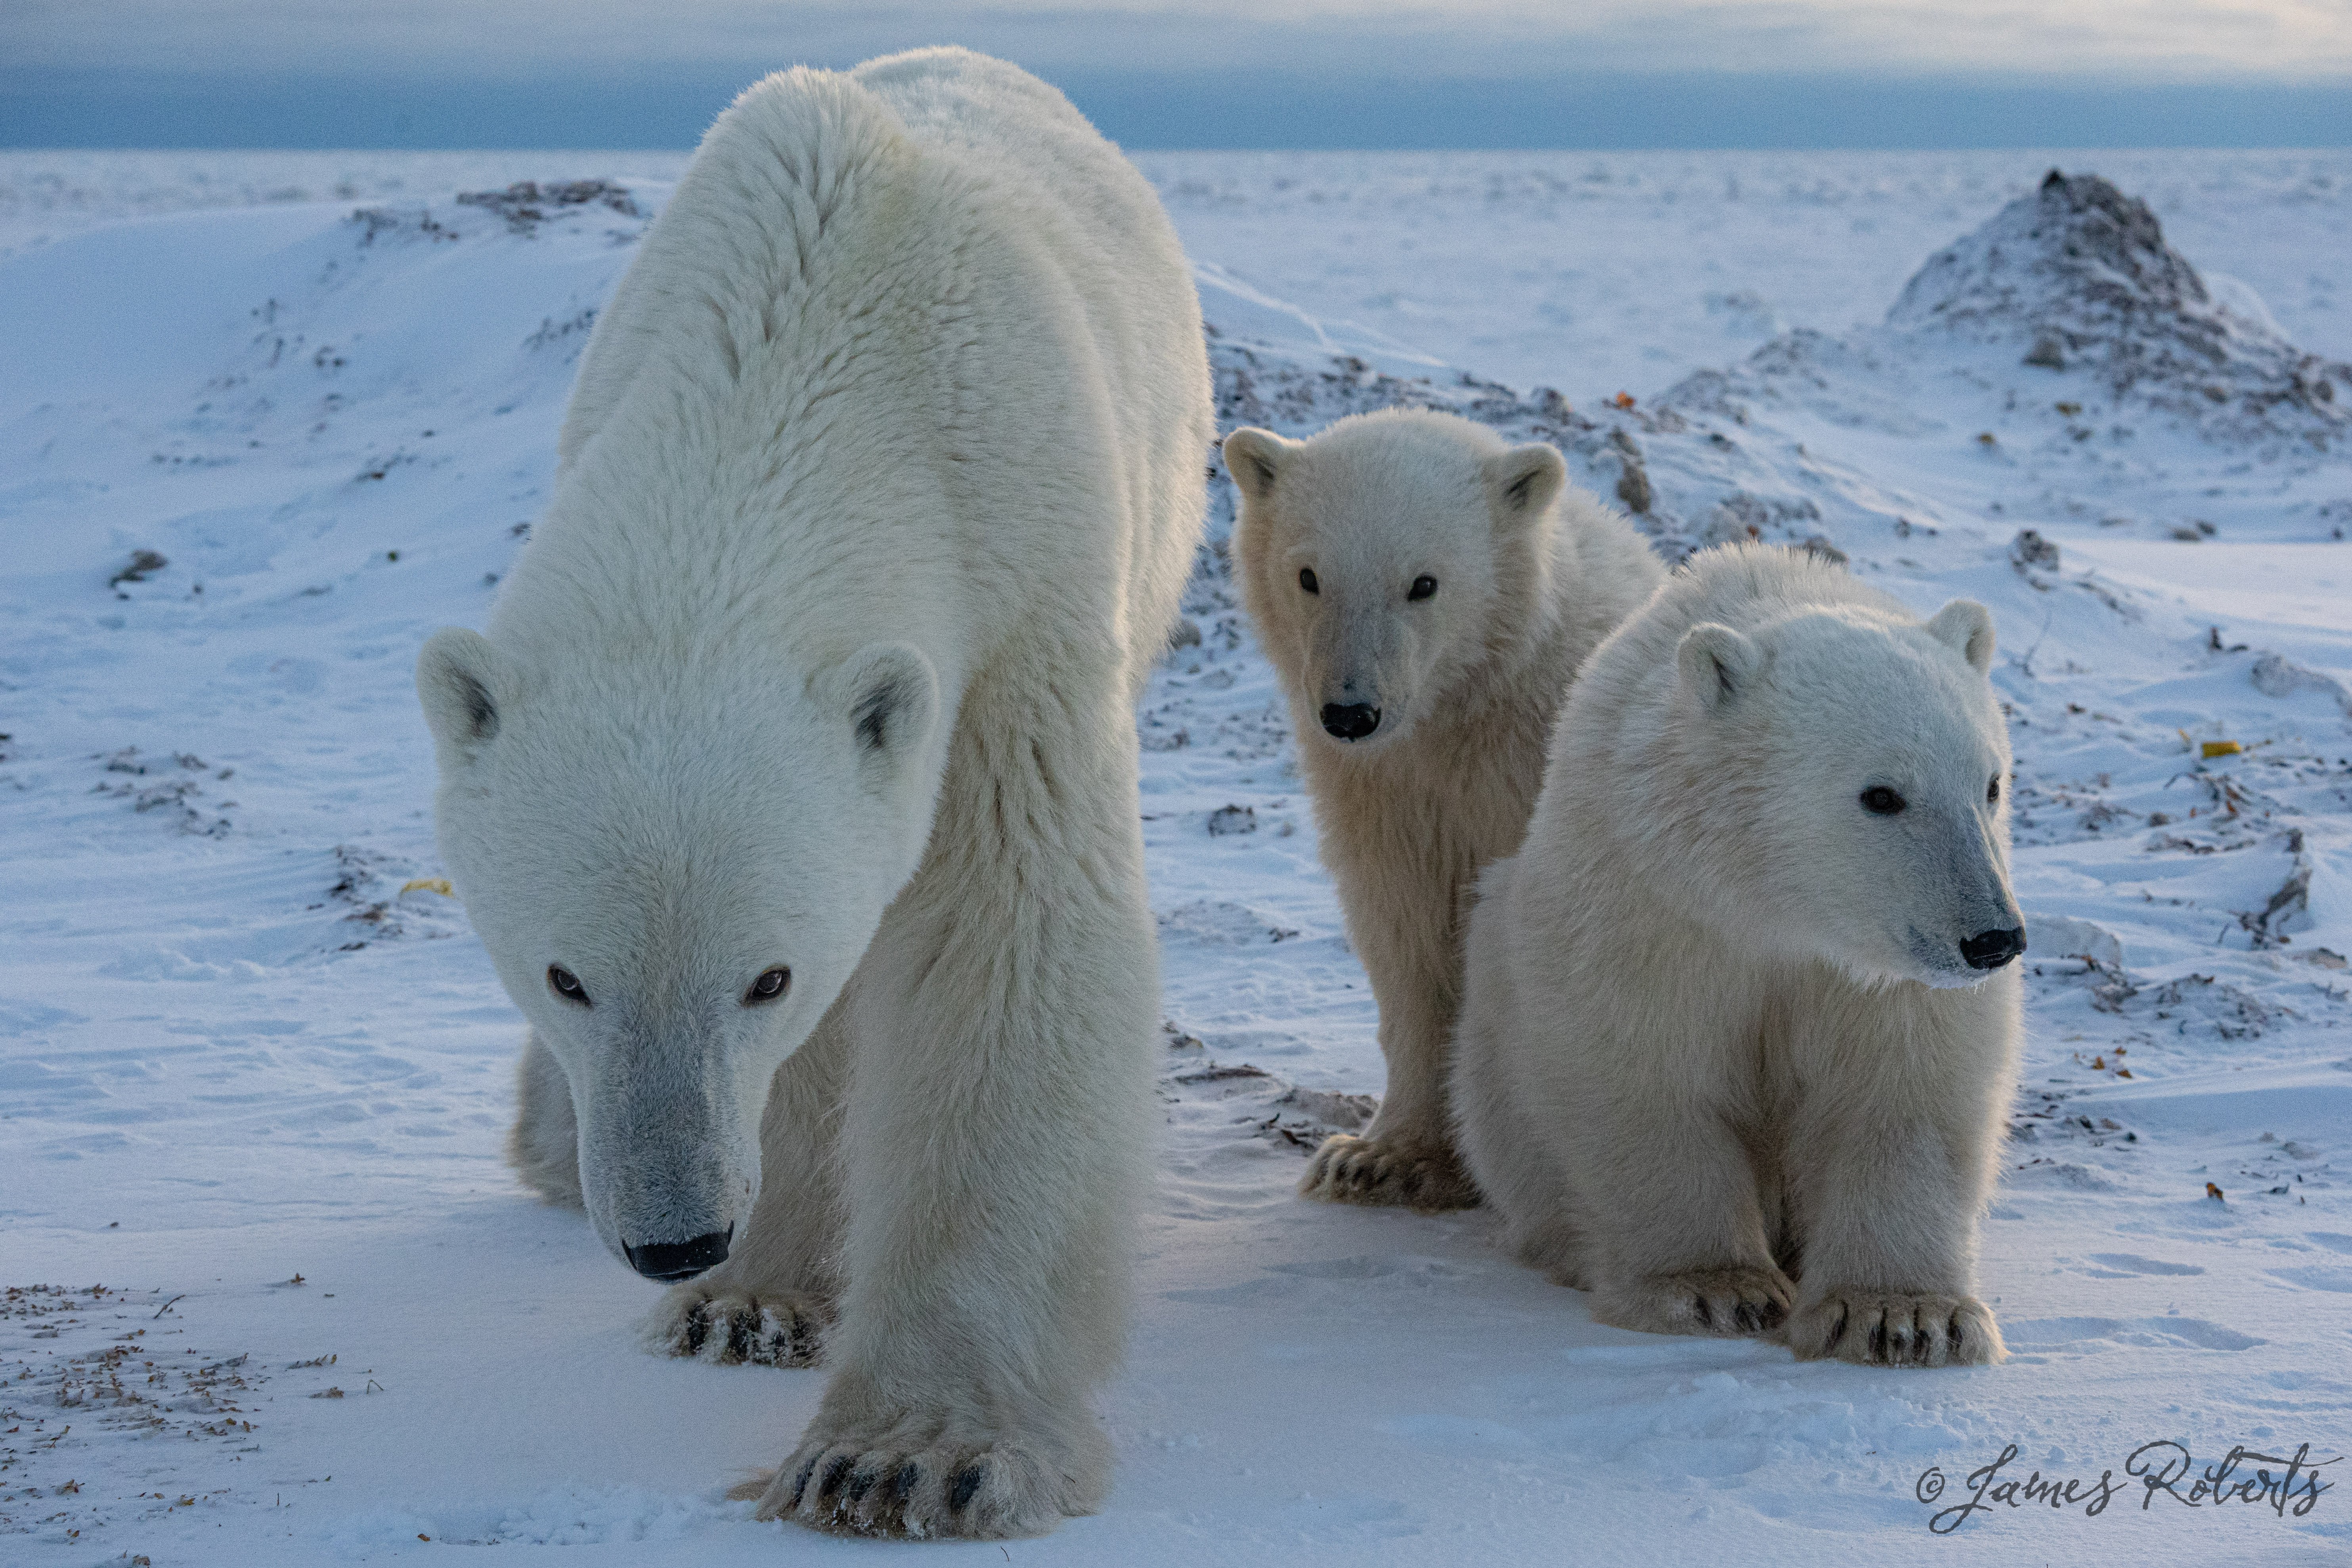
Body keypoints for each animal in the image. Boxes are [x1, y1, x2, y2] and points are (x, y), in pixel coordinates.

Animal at [414, 52, 1213, 1542]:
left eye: (764, 977)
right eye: (564, 974)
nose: (675, 1232)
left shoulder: (1020, 601)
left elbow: (1006, 944)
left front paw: (908, 1454)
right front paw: (744, 1295)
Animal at [1223, 413, 1665, 1213]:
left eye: (1423, 584)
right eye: (1309, 576)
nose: (1350, 712)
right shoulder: (1387, 799)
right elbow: (1409, 944)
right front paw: (1378, 1158)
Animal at [1449, 545, 2023, 1363]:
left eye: (1990, 783)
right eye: (1881, 794)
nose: (1991, 938)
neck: (1774, 906)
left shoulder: (1878, 975)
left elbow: (1900, 1093)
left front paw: (1904, 1315)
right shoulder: (1654, 906)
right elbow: (1644, 1072)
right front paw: (1714, 1290)